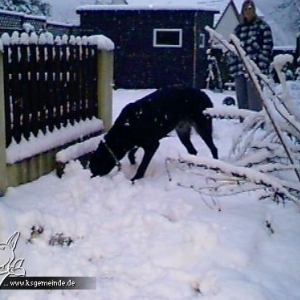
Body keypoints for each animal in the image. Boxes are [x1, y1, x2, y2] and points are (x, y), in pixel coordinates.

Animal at [89, 86, 218, 180]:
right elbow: (131, 154)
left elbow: (142, 166)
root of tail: (205, 94)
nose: (92, 177)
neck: (124, 129)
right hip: (182, 131)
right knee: (193, 151)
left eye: (94, 168)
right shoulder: (137, 143)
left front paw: (135, 179)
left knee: (213, 148)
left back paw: (216, 168)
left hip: (203, 126)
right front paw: (133, 164)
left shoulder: (152, 145)